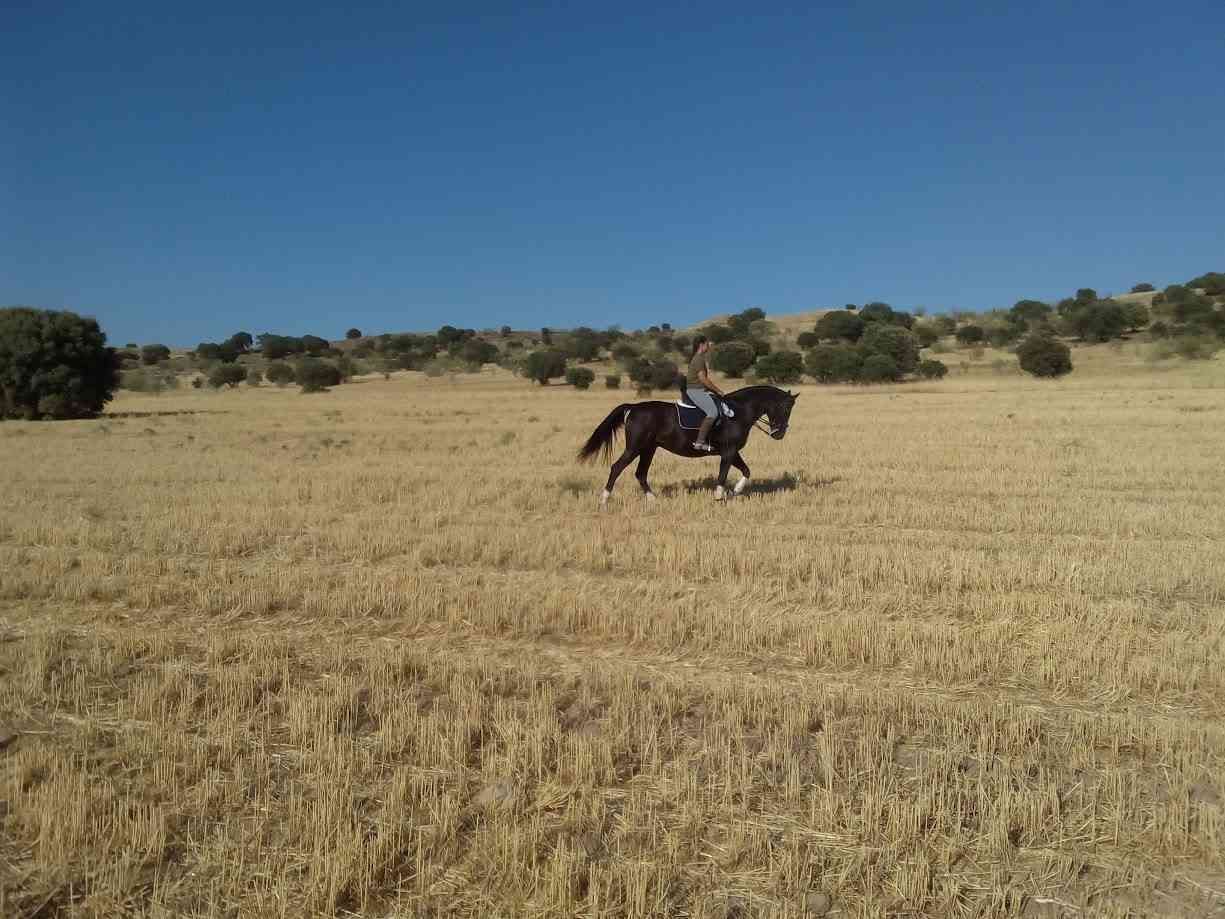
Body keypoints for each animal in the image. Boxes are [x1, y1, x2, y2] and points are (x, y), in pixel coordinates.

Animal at [577, 385, 798, 502]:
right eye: (786, 408)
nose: (779, 434)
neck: (739, 411)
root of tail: (633, 408)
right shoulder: (728, 451)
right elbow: (723, 474)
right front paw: (719, 495)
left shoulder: (732, 452)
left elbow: (746, 471)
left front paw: (735, 491)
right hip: (635, 447)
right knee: (617, 467)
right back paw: (604, 499)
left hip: (649, 449)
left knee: (640, 473)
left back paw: (653, 500)